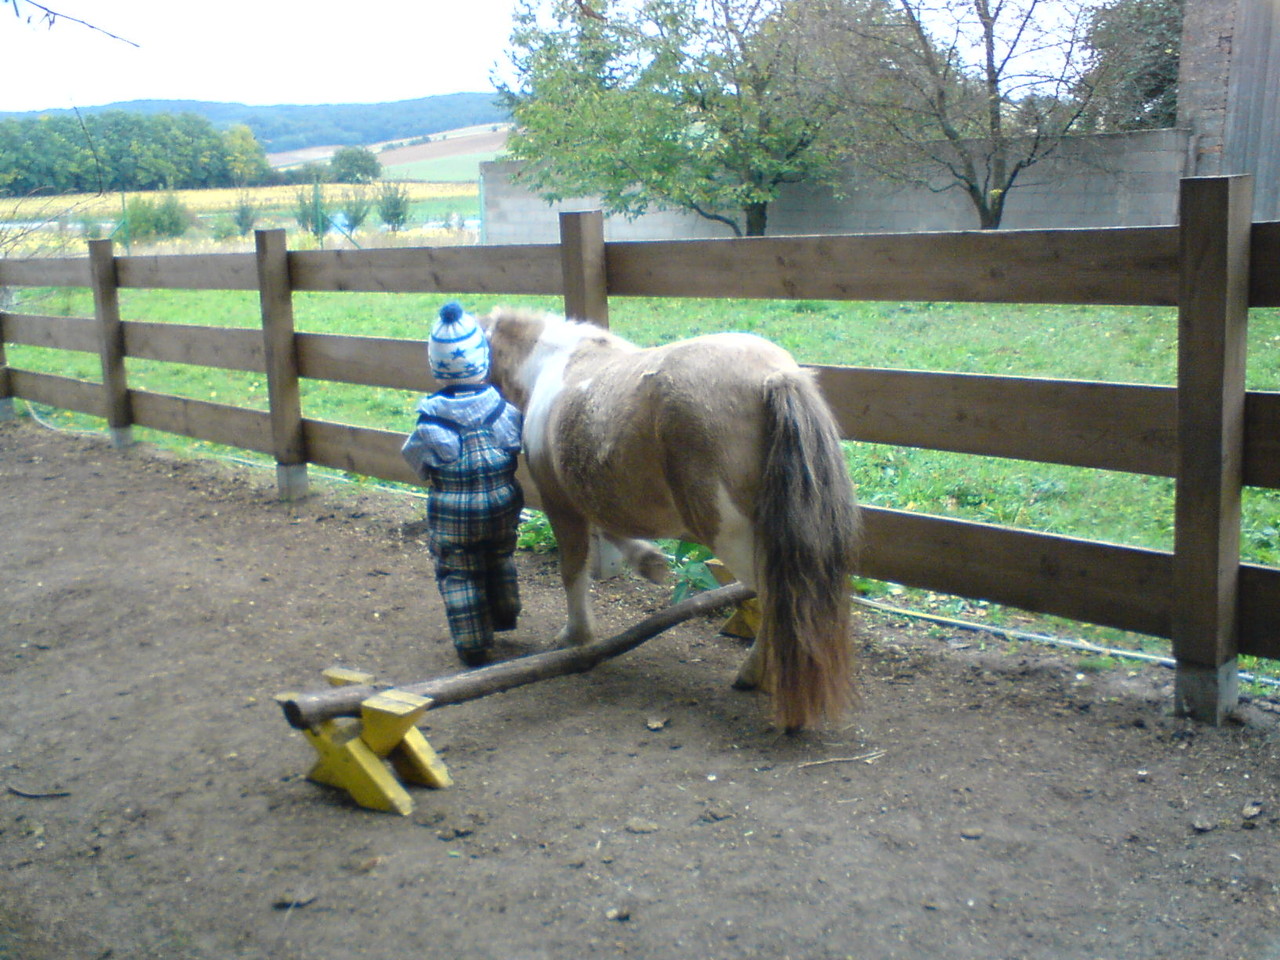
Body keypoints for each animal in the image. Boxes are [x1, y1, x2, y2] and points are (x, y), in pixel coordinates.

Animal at [481, 308, 860, 727]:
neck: (554, 364)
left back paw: (755, 676)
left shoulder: (561, 504)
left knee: (777, 597)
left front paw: (575, 636)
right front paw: (650, 563)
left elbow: (573, 569)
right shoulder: (592, 499)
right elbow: (611, 533)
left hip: (733, 536)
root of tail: (774, 376)